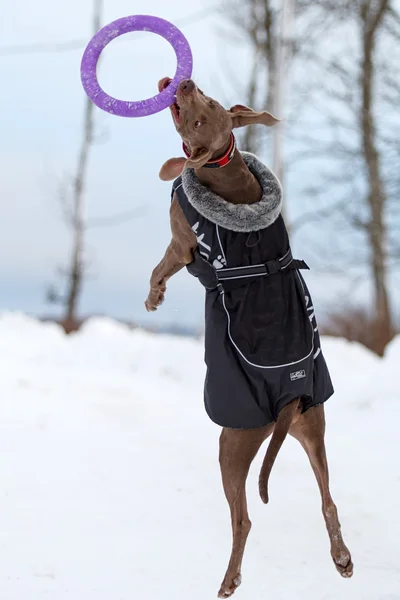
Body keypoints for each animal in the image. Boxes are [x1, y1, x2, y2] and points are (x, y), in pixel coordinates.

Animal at [145, 78, 354, 596]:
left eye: (202, 114)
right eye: (209, 100)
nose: (184, 82)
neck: (226, 166)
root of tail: (289, 398)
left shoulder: (181, 242)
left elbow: (161, 266)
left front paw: (154, 298)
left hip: (233, 442)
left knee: (242, 520)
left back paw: (229, 579)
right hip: (311, 425)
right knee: (328, 498)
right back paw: (342, 558)